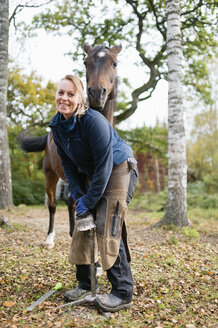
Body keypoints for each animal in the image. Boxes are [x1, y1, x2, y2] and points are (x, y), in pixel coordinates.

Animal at [19, 44, 122, 249]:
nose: (96, 93)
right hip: (50, 175)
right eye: (85, 62)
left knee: (69, 202)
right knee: (53, 205)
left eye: (114, 63)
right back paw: (49, 239)